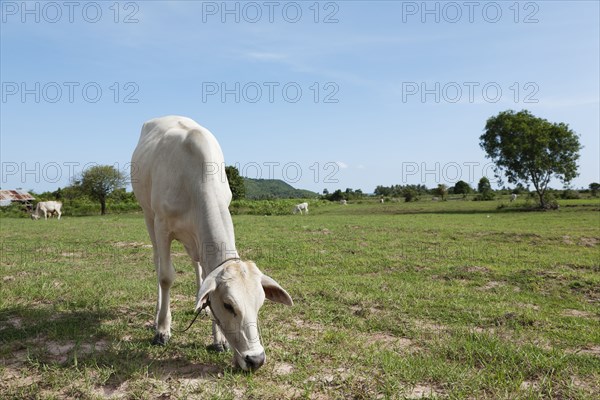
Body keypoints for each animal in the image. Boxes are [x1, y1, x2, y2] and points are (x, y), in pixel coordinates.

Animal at [131, 115, 292, 372]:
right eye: (228, 305)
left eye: (260, 305)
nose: (256, 360)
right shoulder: (162, 225)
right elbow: (166, 276)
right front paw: (163, 331)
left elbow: (206, 279)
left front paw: (219, 340)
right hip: (148, 217)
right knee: (157, 263)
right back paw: (158, 316)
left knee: (197, 266)